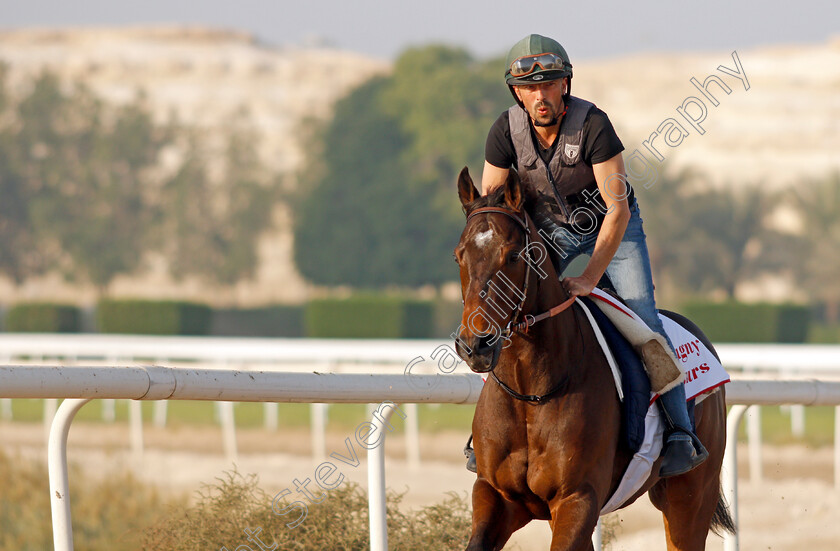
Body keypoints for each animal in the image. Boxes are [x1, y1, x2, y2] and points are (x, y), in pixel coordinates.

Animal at [452, 169, 736, 551]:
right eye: (459, 256)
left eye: (513, 256)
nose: (475, 344)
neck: (531, 392)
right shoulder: (497, 496)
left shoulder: (578, 497)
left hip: (690, 495)